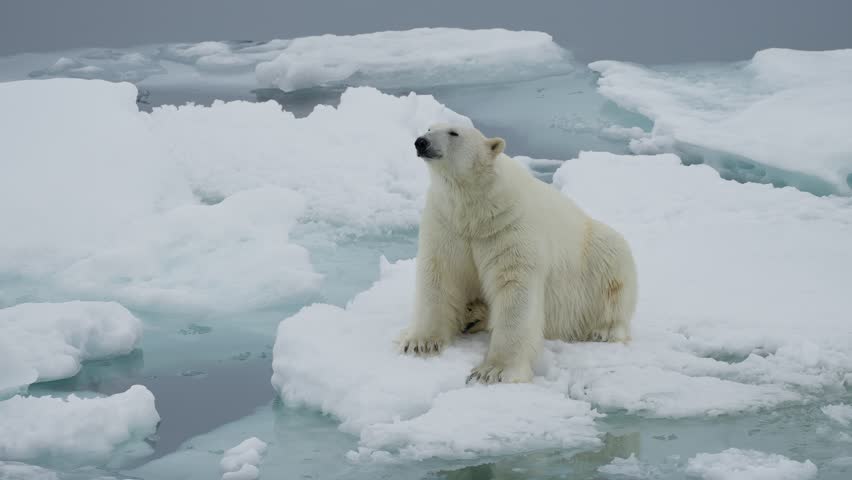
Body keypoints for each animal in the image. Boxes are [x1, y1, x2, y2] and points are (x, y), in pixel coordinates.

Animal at [397, 124, 638, 384]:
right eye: (429, 127)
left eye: (454, 132)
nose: (421, 142)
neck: (476, 210)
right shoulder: (448, 224)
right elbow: (440, 275)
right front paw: (420, 343)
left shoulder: (509, 226)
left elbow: (514, 290)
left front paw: (494, 370)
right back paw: (472, 315)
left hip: (594, 259)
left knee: (614, 271)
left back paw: (604, 330)